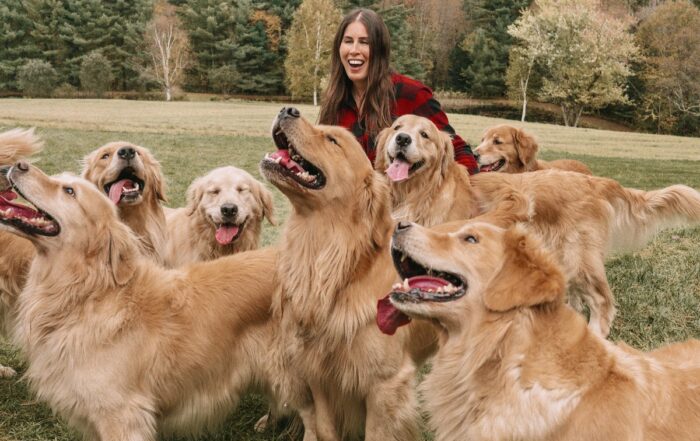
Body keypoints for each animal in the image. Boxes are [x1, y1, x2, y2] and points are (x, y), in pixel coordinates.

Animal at [378, 113, 700, 334]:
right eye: (397, 127)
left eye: (424, 134)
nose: (402, 139)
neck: (420, 191)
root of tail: (595, 181)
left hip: (579, 260)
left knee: (603, 302)